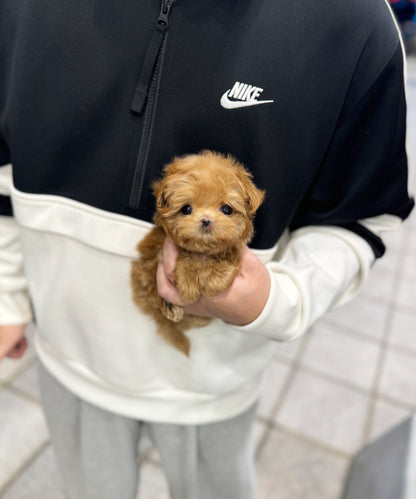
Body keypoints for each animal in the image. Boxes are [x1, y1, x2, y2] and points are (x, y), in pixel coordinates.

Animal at [132, 150, 264, 358]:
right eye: (187, 209)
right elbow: (186, 256)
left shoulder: (232, 248)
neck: (204, 250)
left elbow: (228, 257)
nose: (206, 221)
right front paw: (187, 283)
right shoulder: (159, 246)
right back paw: (170, 307)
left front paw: (214, 280)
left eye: (226, 209)